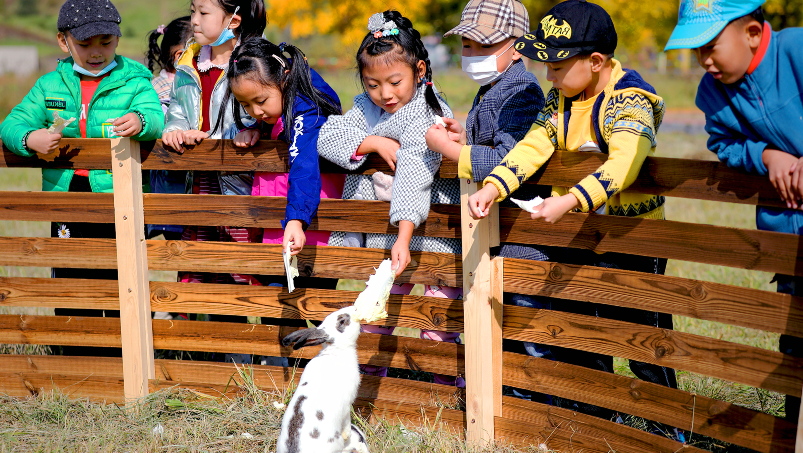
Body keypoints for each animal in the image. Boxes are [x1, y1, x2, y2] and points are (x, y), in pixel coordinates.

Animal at [278, 304, 370, 452]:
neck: (335, 352)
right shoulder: (346, 407)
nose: (354, 308)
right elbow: (347, 424)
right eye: (342, 321)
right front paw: (348, 436)